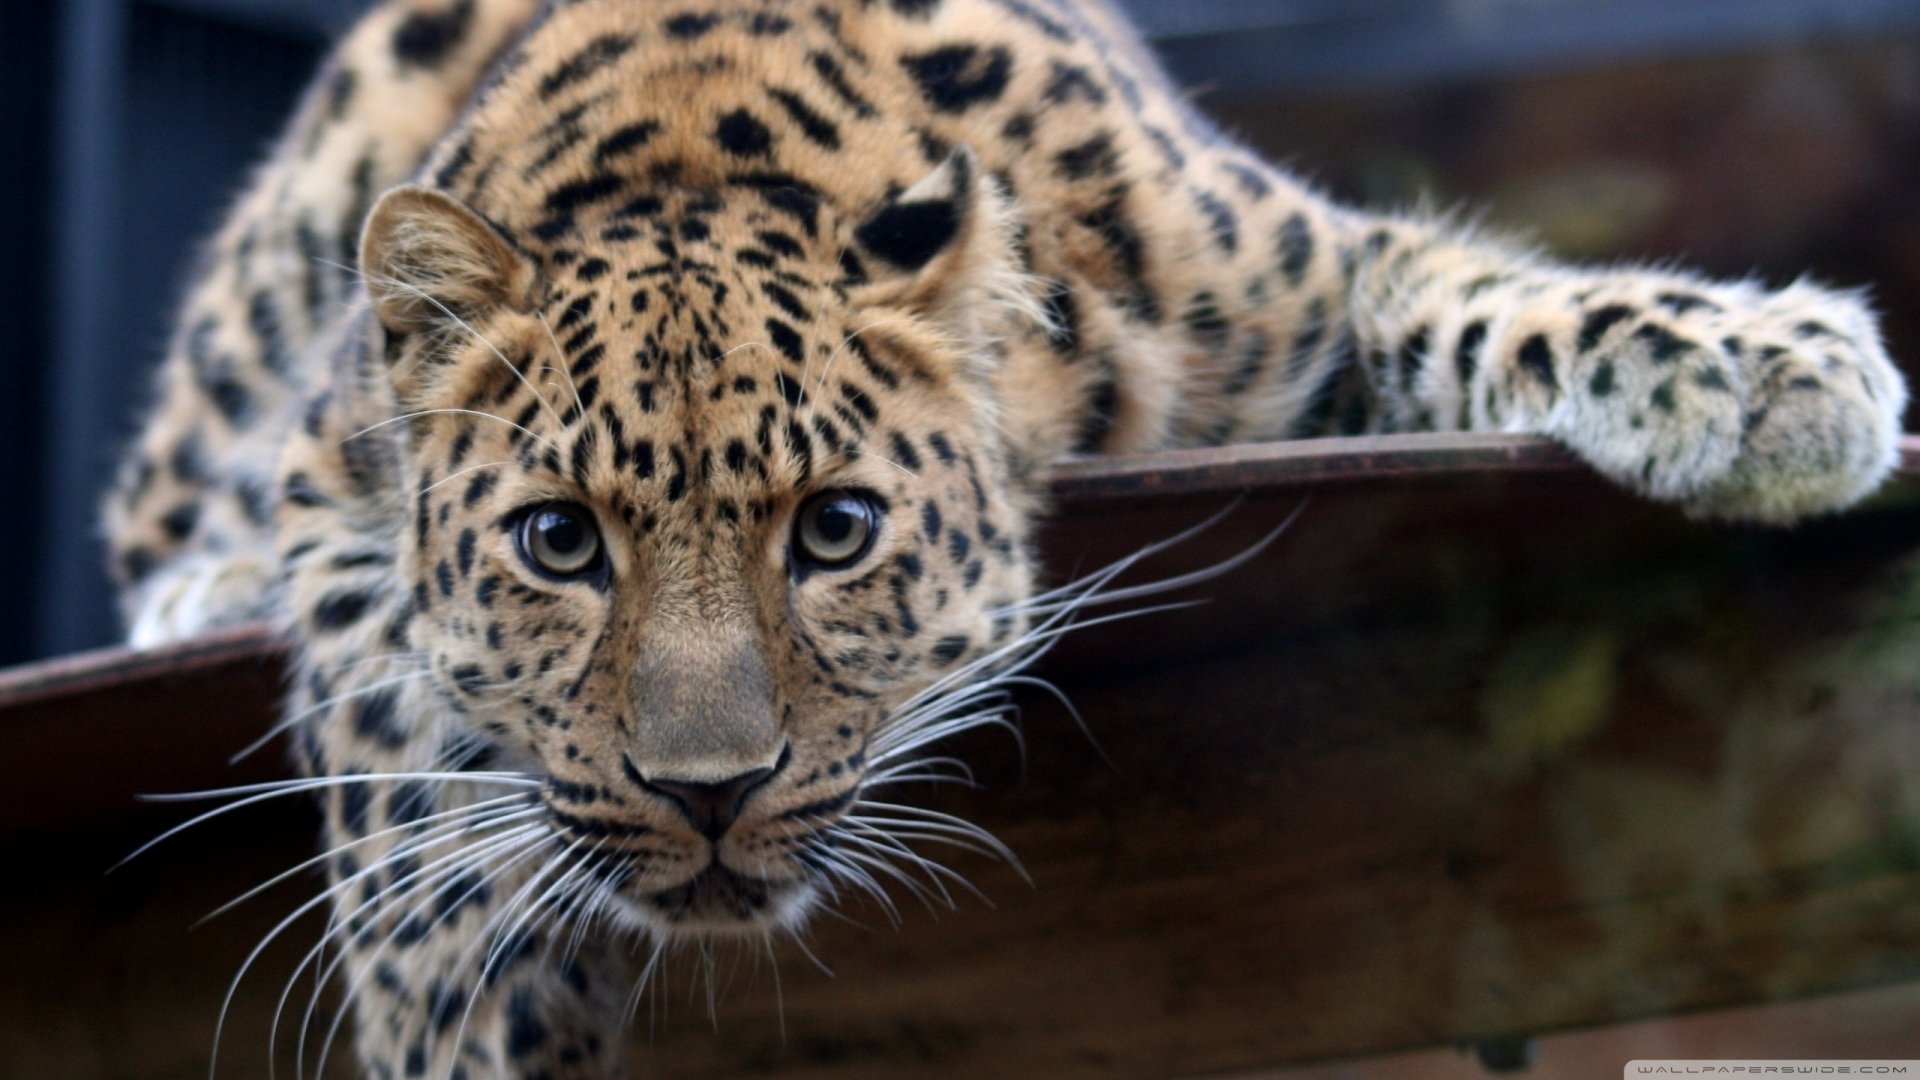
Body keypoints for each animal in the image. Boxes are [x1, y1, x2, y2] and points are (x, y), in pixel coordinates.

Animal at [102, 0, 1907, 1075]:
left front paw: (1768, 370)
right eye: (558, 543)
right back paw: (198, 579)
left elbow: (1477, 291)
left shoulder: (1300, 280)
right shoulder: (333, 481)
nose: (707, 795)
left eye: (836, 531)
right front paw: (458, 1019)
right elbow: (389, 748)